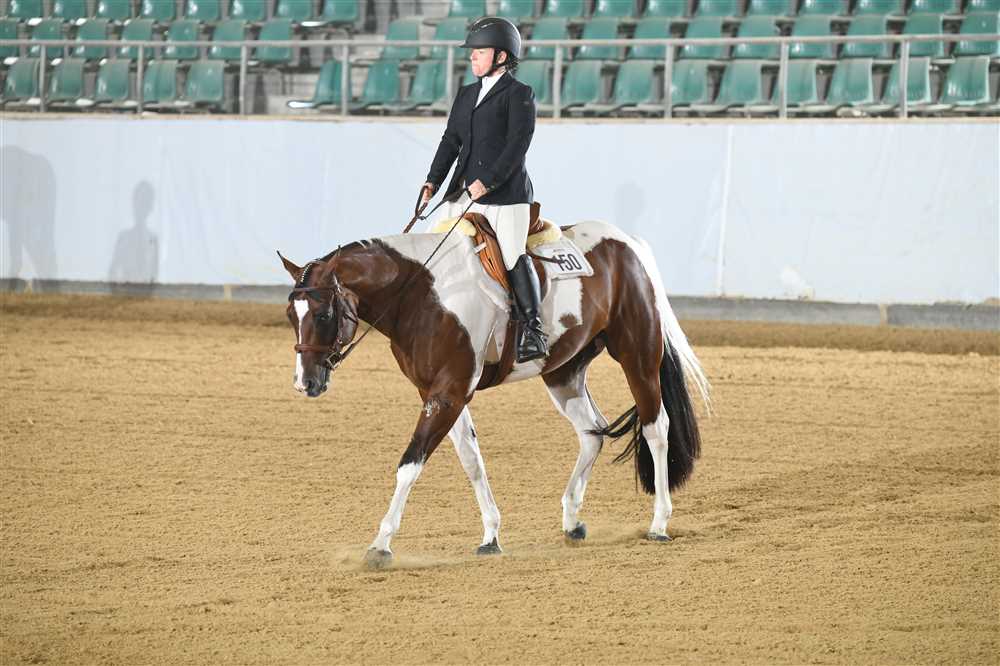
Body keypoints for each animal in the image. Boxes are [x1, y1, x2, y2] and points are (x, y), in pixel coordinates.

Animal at [278, 217, 710, 569]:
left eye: (324, 314)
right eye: (290, 315)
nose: (305, 383)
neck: (421, 294)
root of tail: (627, 242)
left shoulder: (448, 394)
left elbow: (410, 465)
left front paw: (380, 545)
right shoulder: (437, 393)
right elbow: (472, 462)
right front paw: (491, 535)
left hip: (638, 355)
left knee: (656, 428)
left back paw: (658, 523)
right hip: (563, 371)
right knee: (591, 432)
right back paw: (571, 520)